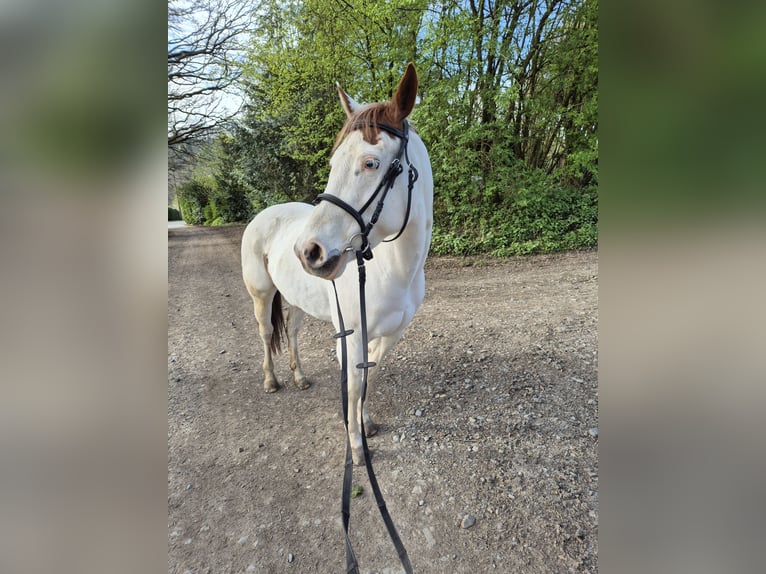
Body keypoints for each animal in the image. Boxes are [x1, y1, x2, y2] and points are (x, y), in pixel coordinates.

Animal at [241, 63, 433, 466]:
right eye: (332, 164)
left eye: (370, 163)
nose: (308, 252)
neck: (393, 272)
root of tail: (265, 213)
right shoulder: (353, 335)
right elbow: (354, 384)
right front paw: (356, 446)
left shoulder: (390, 336)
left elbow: (370, 377)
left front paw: (366, 423)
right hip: (262, 296)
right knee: (267, 334)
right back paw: (271, 381)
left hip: (296, 300)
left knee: (293, 333)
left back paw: (299, 377)